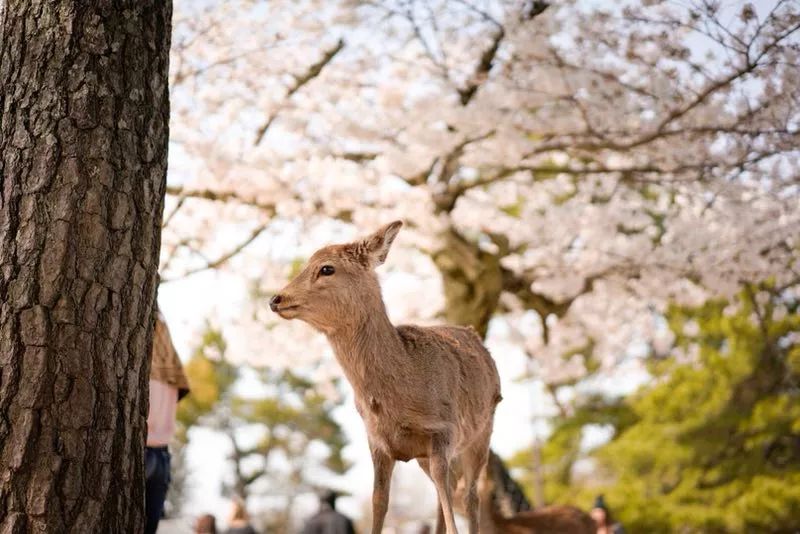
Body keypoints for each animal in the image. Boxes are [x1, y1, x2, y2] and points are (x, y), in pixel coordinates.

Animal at [272, 222, 504, 534]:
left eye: (326, 268)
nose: (276, 299)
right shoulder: (378, 442)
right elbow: (379, 501)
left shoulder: (443, 430)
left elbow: (448, 497)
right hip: (428, 454)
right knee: (449, 487)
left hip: (481, 433)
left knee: (469, 494)